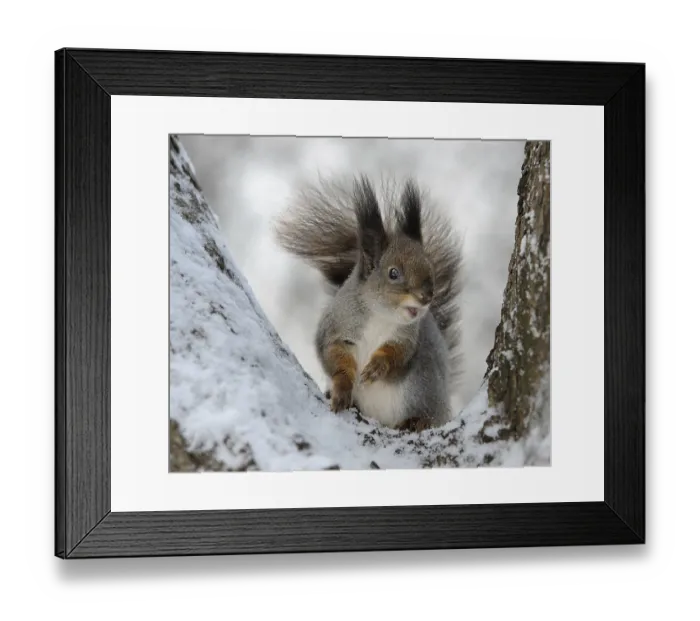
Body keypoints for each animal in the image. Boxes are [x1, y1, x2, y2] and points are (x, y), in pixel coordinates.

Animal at [274, 174, 464, 433]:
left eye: (430, 268)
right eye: (393, 273)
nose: (427, 296)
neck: (380, 315)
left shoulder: (406, 338)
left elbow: (398, 355)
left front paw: (377, 367)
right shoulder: (337, 328)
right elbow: (335, 357)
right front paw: (342, 389)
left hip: (424, 387)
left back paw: (417, 421)